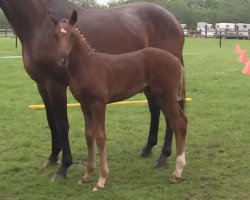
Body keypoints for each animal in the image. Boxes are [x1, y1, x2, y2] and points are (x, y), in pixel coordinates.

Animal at [49, 10, 187, 191]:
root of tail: (176, 60)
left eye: (71, 35)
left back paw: (177, 173)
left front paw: (101, 180)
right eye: (55, 35)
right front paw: (87, 175)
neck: (87, 66)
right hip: (162, 97)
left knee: (179, 123)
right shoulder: (85, 105)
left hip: (167, 97)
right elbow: (89, 136)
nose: (62, 59)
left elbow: (101, 137)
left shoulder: (99, 104)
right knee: (179, 122)